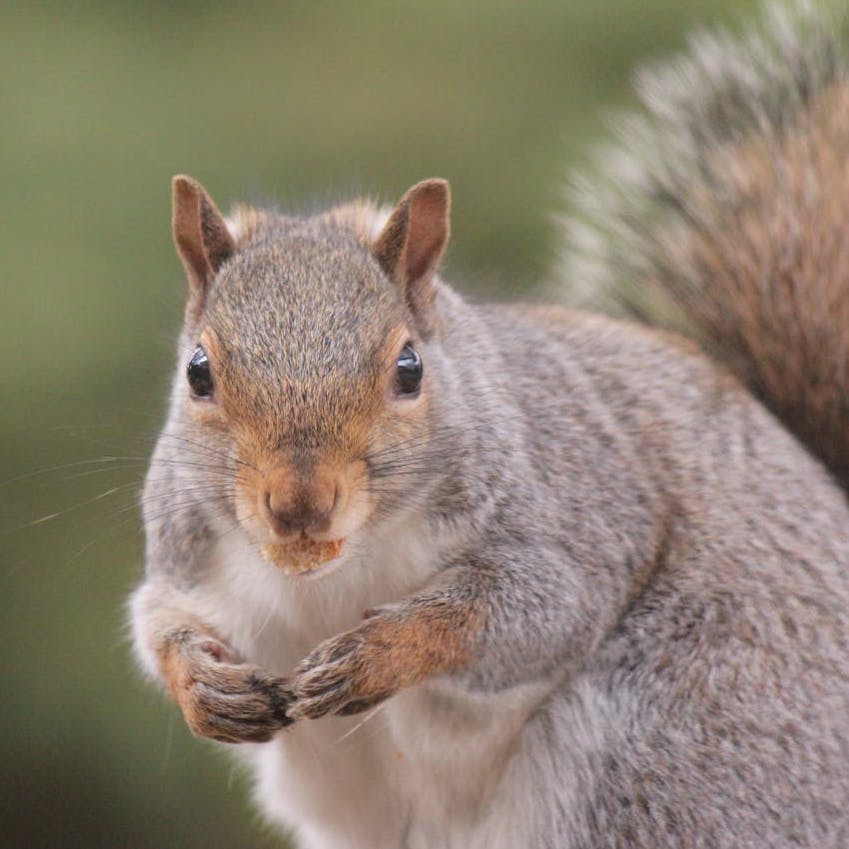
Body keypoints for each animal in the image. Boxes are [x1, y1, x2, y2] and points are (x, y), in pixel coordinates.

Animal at [127, 3, 849, 844]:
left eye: (409, 368)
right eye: (197, 372)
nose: (298, 506)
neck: (333, 574)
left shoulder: (570, 525)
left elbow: (525, 614)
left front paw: (380, 651)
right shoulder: (187, 557)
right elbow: (157, 621)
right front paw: (202, 684)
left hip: (666, 757)